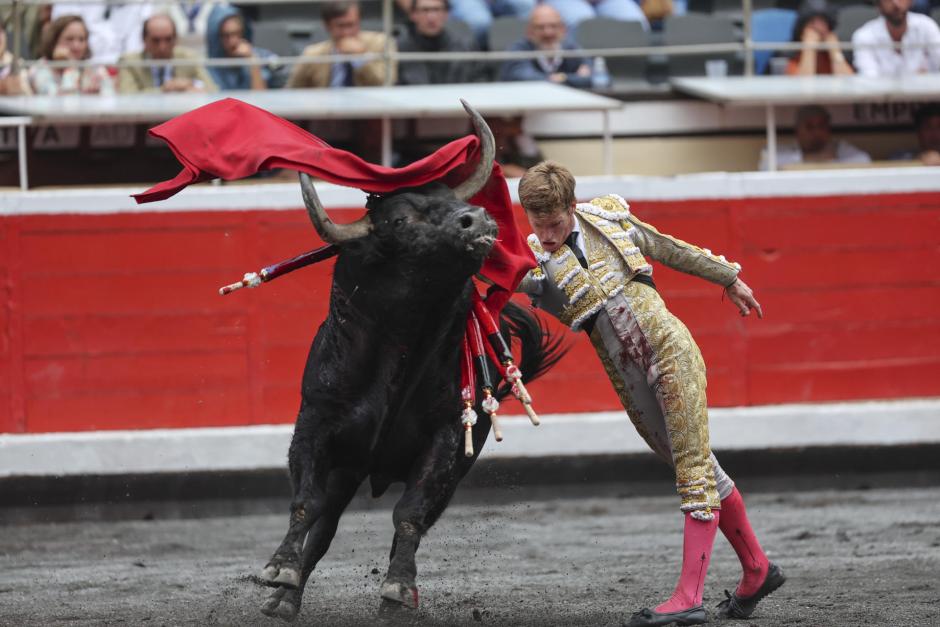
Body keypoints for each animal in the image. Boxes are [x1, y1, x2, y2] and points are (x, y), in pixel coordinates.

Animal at [258, 105, 564, 620]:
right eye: (399, 221)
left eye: (448, 196)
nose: (477, 217)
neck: (400, 353)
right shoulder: (316, 425)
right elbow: (306, 502)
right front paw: (279, 570)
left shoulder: (445, 443)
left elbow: (410, 516)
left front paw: (398, 589)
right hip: (347, 469)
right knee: (324, 526)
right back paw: (285, 598)